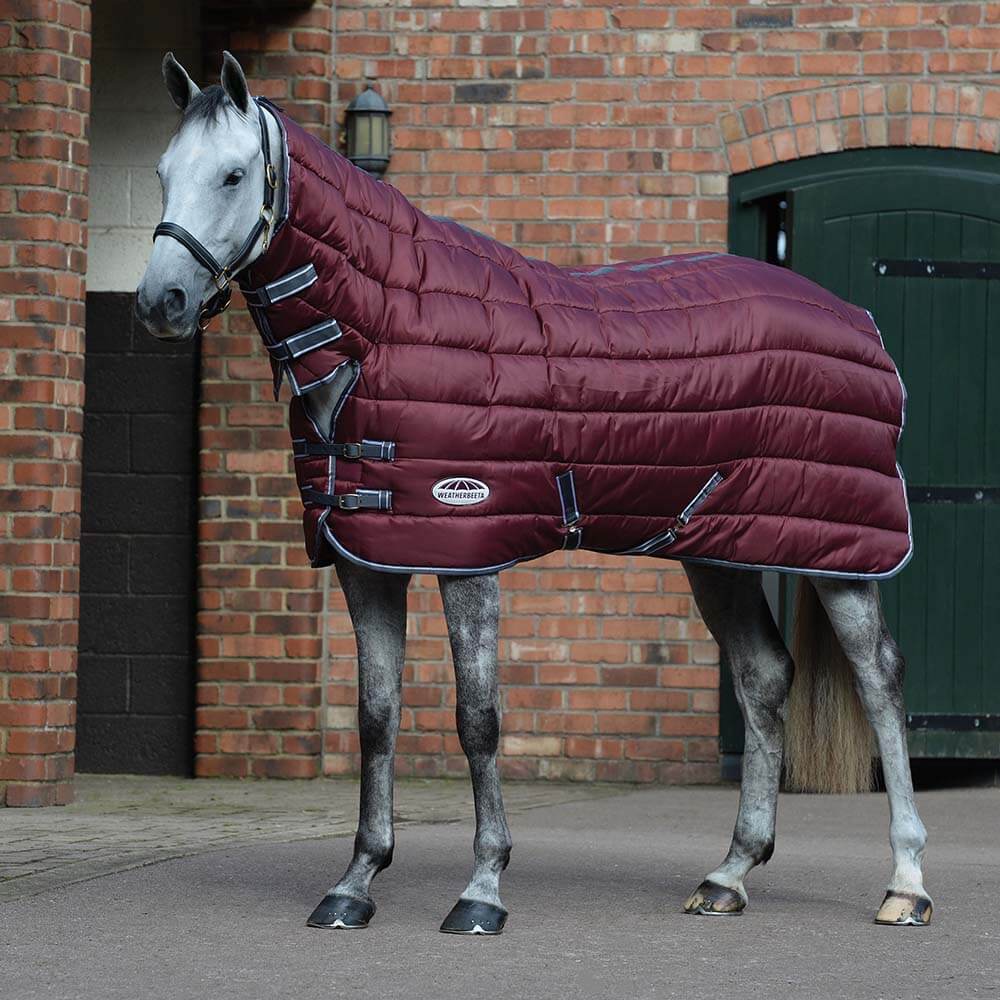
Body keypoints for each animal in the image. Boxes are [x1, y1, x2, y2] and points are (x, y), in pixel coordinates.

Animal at [135, 52, 932, 933]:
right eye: (163, 172)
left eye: (235, 174)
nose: (160, 303)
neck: (379, 329)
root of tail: (862, 323)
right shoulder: (366, 559)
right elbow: (377, 717)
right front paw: (355, 884)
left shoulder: (467, 550)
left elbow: (477, 718)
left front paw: (482, 890)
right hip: (717, 548)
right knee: (764, 676)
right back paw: (729, 875)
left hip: (842, 554)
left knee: (880, 680)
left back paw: (906, 884)